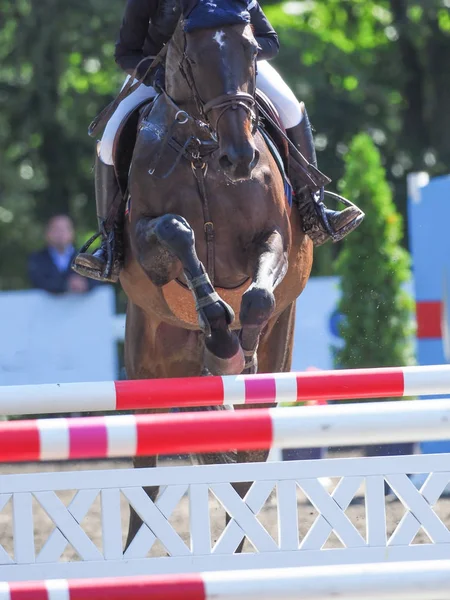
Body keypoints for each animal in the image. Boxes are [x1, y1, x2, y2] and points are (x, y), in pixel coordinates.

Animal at [119, 15, 312, 548]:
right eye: (194, 57)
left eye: (251, 51)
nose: (240, 157)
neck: (203, 150)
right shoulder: (149, 247)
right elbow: (177, 231)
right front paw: (219, 327)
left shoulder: (274, 238)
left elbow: (259, 295)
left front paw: (236, 348)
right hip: (147, 369)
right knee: (145, 472)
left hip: (279, 351)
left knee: (244, 469)